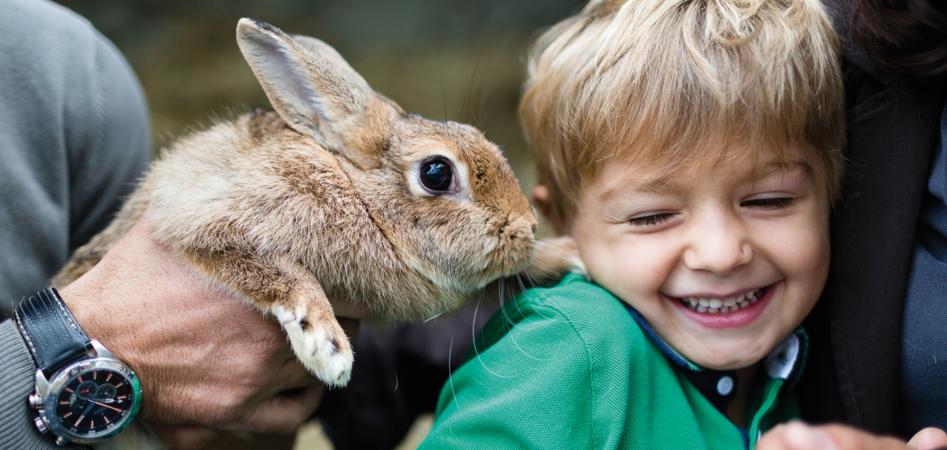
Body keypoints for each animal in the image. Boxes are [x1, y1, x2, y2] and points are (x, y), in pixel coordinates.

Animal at [53, 17, 540, 392]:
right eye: (436, 173)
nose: (528, 228)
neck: (357, 193)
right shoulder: (200, 217)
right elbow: (285, 273)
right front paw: (328, 349)